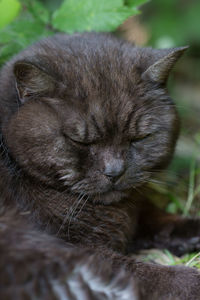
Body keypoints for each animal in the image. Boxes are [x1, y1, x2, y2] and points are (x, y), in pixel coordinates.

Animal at [0, 31, 200, 298]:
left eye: (138, 138)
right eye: (80, 141)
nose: (114, 172)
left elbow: (161, 218)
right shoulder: (77, 253)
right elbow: (139, 275)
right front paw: (190, 280)